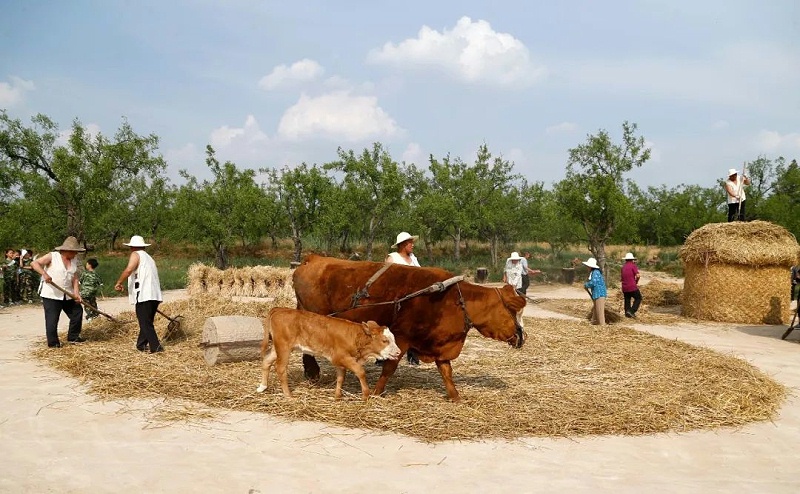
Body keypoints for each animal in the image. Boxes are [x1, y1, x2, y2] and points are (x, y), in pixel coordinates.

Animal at [260, 308, 404, 402]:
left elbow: (341, 377)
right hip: (284, 347)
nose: (398, 352)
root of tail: (280, 309)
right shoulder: (341, 357)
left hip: (278, 348)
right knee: (280, 368)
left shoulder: (340, 363)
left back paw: (262, 387)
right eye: (385, 340)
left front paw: (337, 396)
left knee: (267, 361)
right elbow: (360, 371)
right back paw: (288, 395)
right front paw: (365, 395)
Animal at [290, 255, 528, 402]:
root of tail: (313, 258)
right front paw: (376, 392)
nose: (521, 336)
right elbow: (389, 368)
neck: (451, 299)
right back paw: (312, 372)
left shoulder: (439, 344)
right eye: (512, 310)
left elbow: (446, 372)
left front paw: (456, 397)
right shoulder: (401, 337)